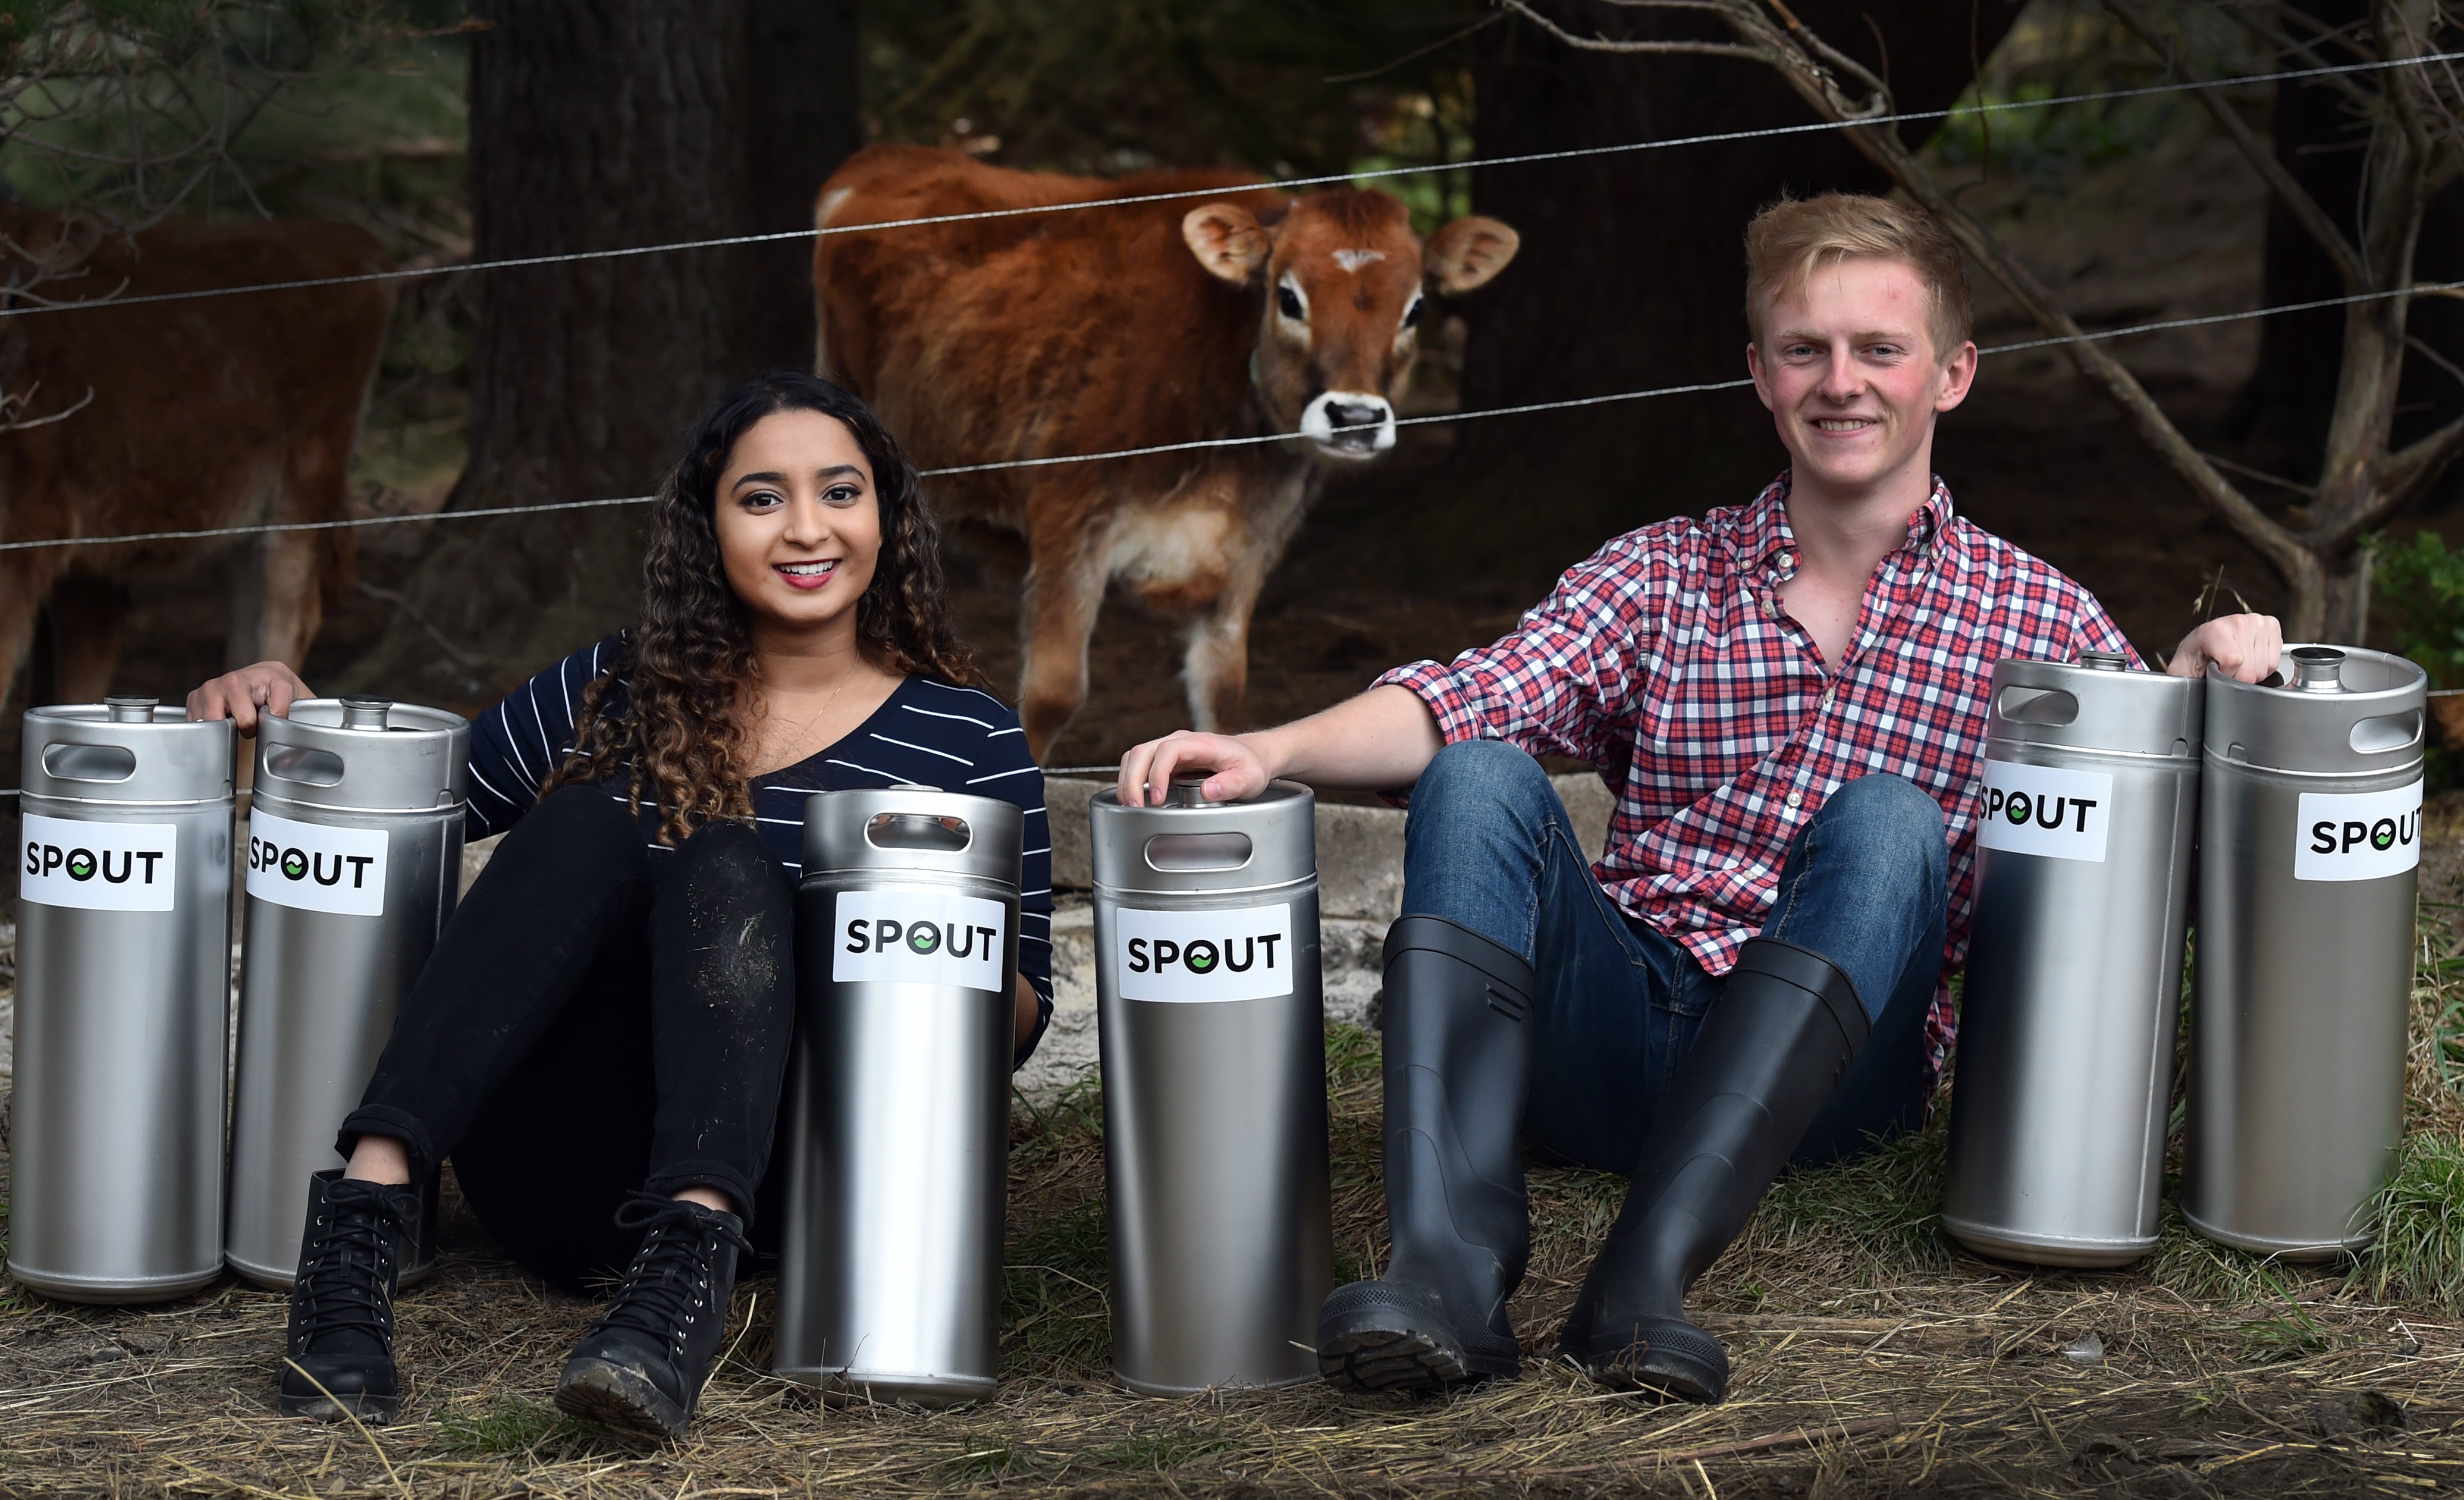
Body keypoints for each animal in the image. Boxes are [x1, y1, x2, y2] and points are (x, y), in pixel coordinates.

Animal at [0, 209, 389, 714]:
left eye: (14, 295)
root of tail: (348, 237)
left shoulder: (27, 536)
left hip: (307, 477)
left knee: (289, 615)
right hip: (241, 519)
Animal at [818, 146, 1508, 754]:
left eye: (1415, 308)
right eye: (1288, 297)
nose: (1355, 416)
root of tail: (890, 157)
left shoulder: (1246, 552)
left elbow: (1222, 696)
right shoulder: (1071, 520)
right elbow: (1051, 696)